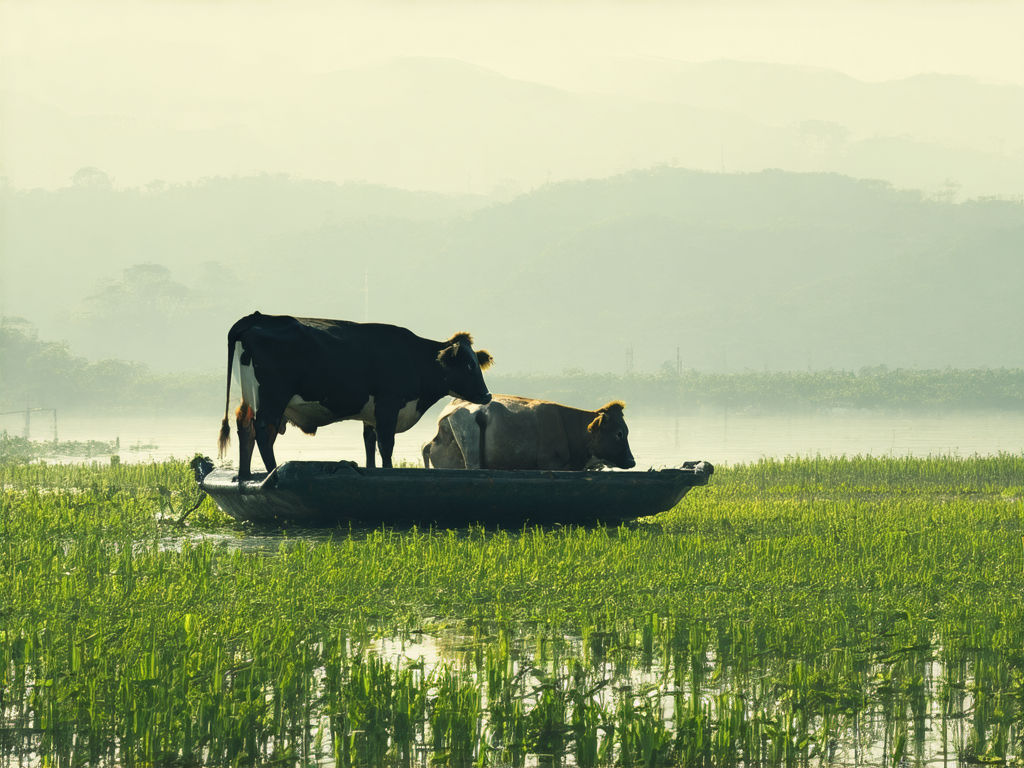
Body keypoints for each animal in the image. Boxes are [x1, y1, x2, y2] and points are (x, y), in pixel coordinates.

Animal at [217, 312, 493, 478]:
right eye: (469, 365)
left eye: (477, 363)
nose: (487, 395)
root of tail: (255, 318)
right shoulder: (389, 403)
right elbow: (386, 445)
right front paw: (388, 472)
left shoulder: (371, 414)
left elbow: (369, 444)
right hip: (273, 398)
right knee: (263, 431)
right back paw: (271, 472)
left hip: (251, 398)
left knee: (245, 426)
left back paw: (244, 476)